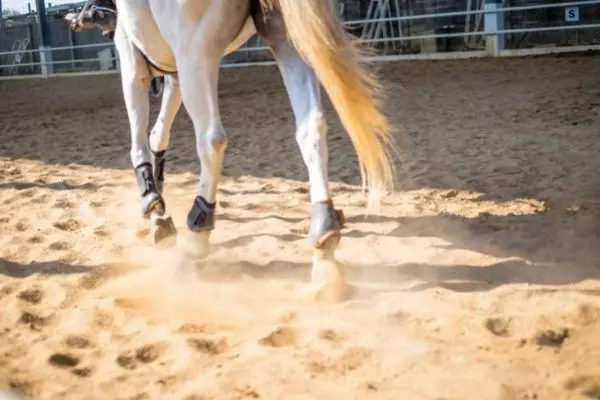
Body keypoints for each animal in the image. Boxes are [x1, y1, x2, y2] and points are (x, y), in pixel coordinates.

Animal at [68, 0, 396, 300]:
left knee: (212, 139)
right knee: (312, 127)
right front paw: (157, 196)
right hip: (285, 37)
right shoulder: (173, 74)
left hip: (196, 55)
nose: (74, 18)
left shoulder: (133, 61)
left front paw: (154, 208)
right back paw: (325, 251)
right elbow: (158, 135)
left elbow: (139, 142)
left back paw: (196, 240)